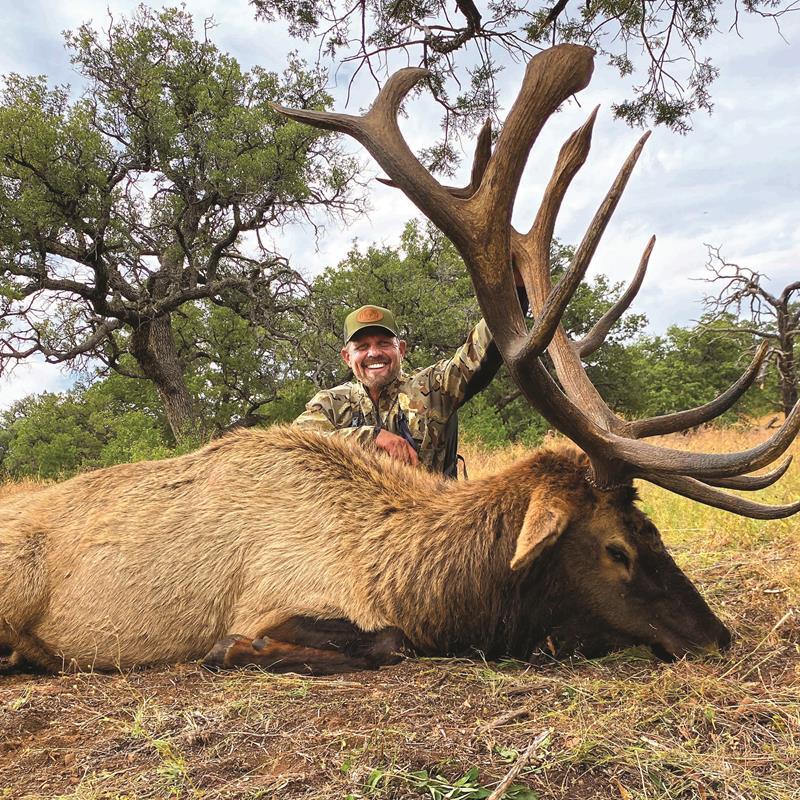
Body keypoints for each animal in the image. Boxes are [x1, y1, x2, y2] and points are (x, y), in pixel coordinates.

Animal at [0, 44, 797, 675]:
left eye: (654, 530)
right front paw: (235, 650)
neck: (419, 582)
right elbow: (377, 642)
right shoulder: (281, 598)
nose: (717, 637)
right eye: (617, 549)